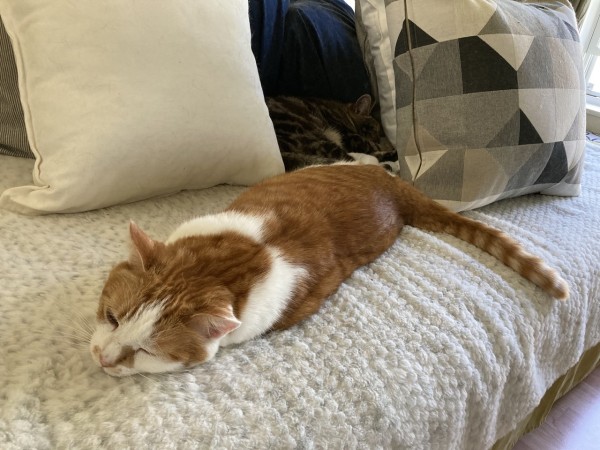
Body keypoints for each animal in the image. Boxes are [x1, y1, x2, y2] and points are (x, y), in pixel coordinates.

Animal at [264, 94, 396, 171]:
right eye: (372, 129)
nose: (378, 138)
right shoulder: (350, 137)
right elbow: (372, 146)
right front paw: (388, 146)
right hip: (314, 139)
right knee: (349, 160)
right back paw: (385, 167)